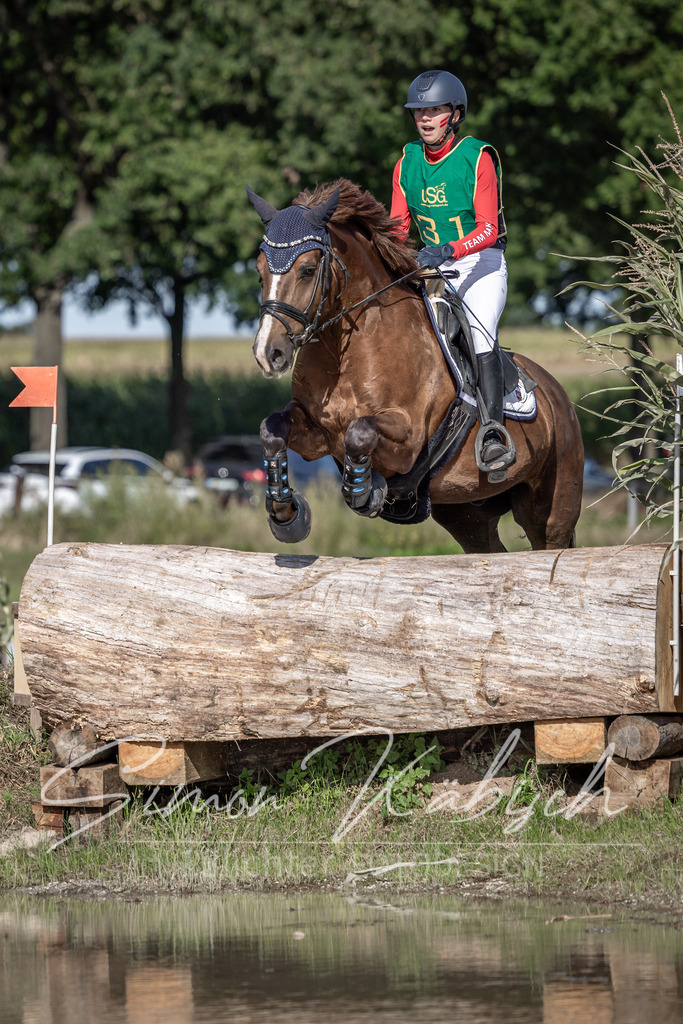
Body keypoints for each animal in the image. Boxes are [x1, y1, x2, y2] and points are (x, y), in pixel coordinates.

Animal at [247, 178, 583, 554]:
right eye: (260, 273)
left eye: (307, 270)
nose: (268, 353)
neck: (345, 353)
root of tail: (559, 397)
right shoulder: (317, 434)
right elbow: (272, 429)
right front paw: (286, 513)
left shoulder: (407, 440)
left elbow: (359, 433)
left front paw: (367, 492)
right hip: (466, 512)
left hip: (551, 509)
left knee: (550, 541)